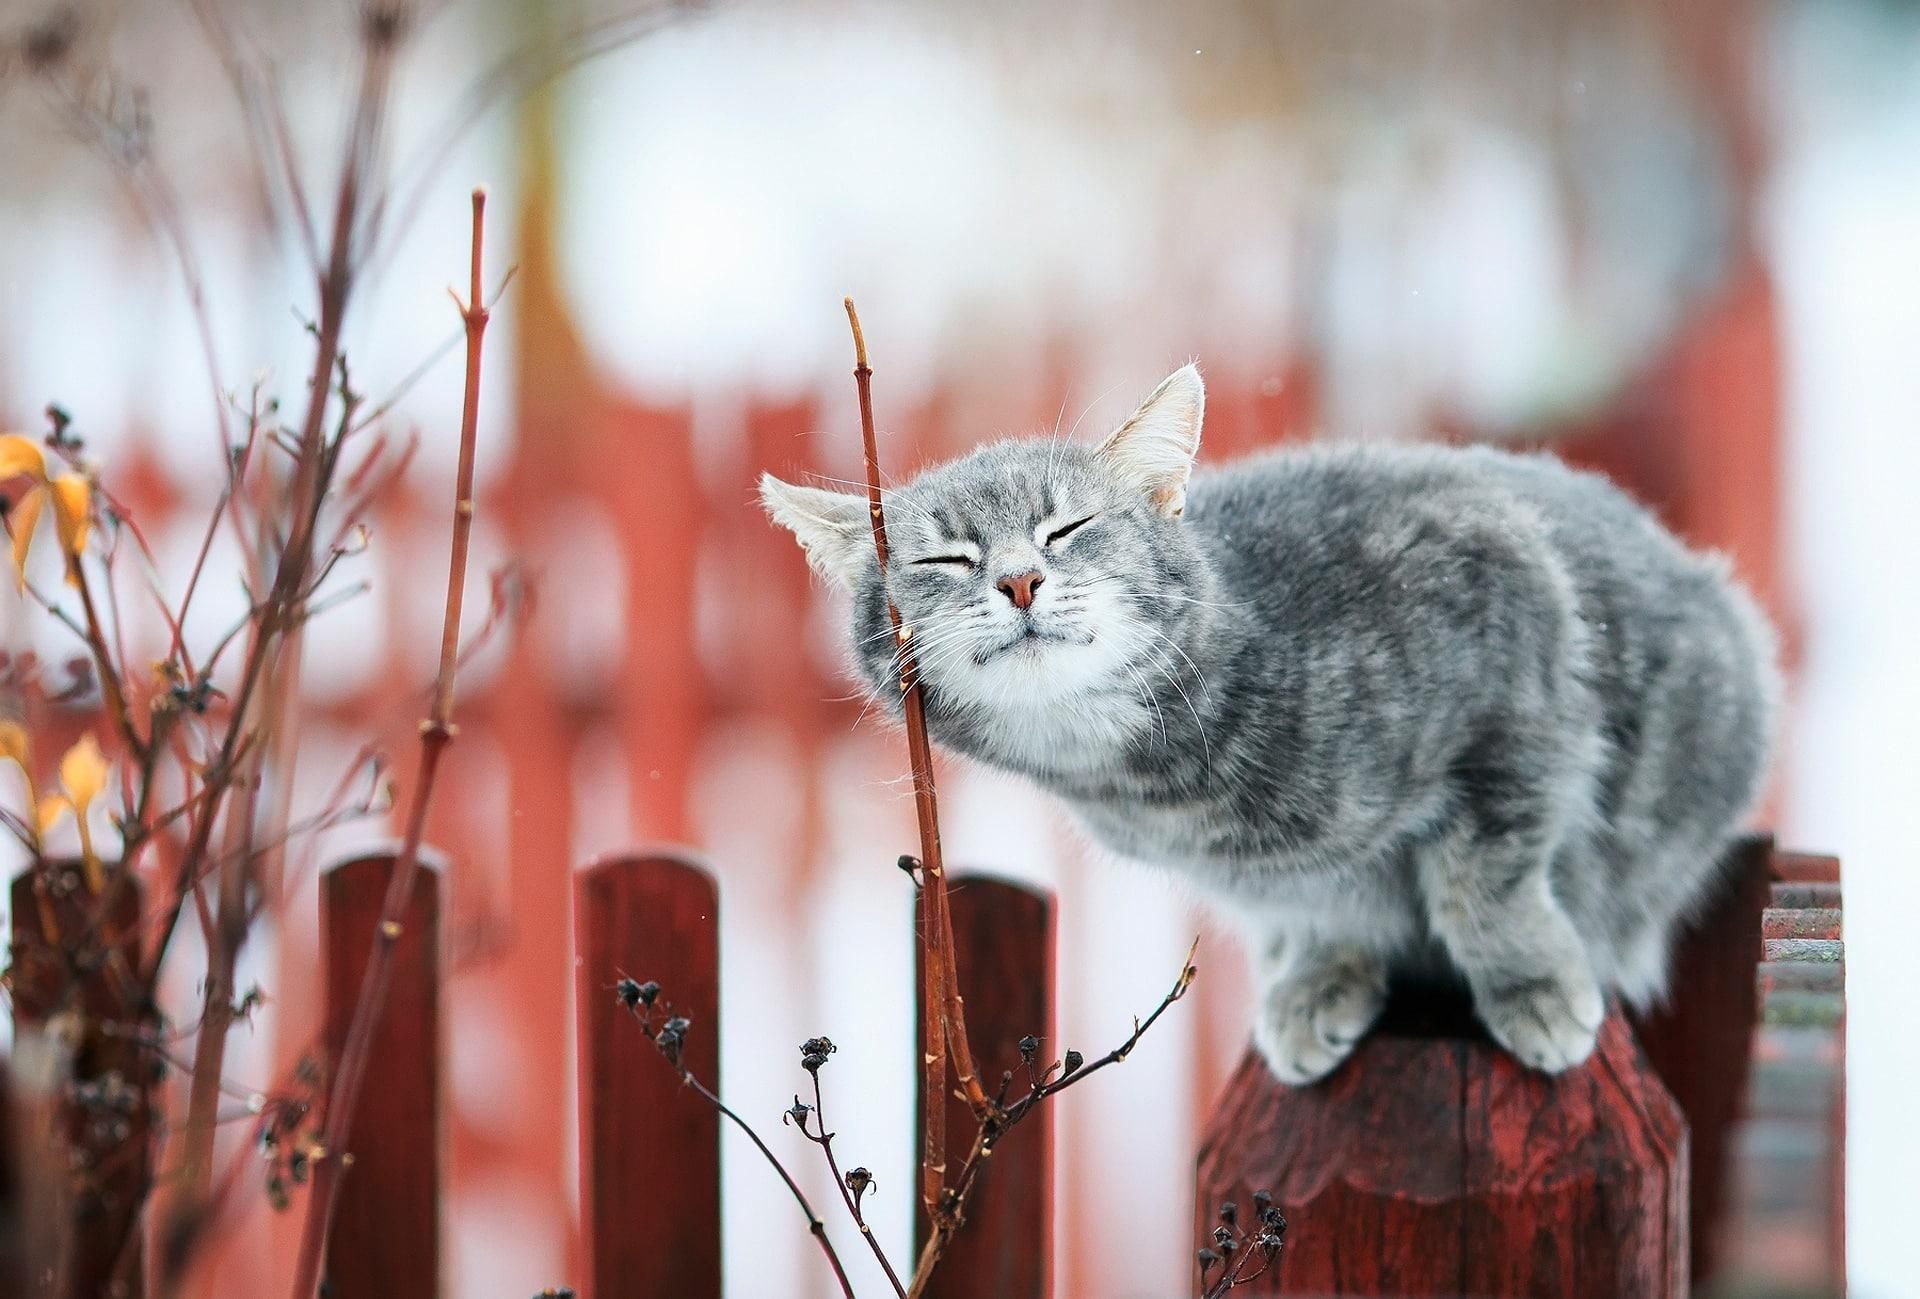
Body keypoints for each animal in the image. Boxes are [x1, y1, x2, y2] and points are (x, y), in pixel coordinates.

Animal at [756, 364, 1774, 1082]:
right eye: (947, 557)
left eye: (1068, 529)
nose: (1018, 579)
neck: (1160, 782)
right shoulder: (1269, 880)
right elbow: (1318, 902)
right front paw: (1322, 973)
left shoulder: (1516, 674)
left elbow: (1484, 883)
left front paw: (1531, 982)